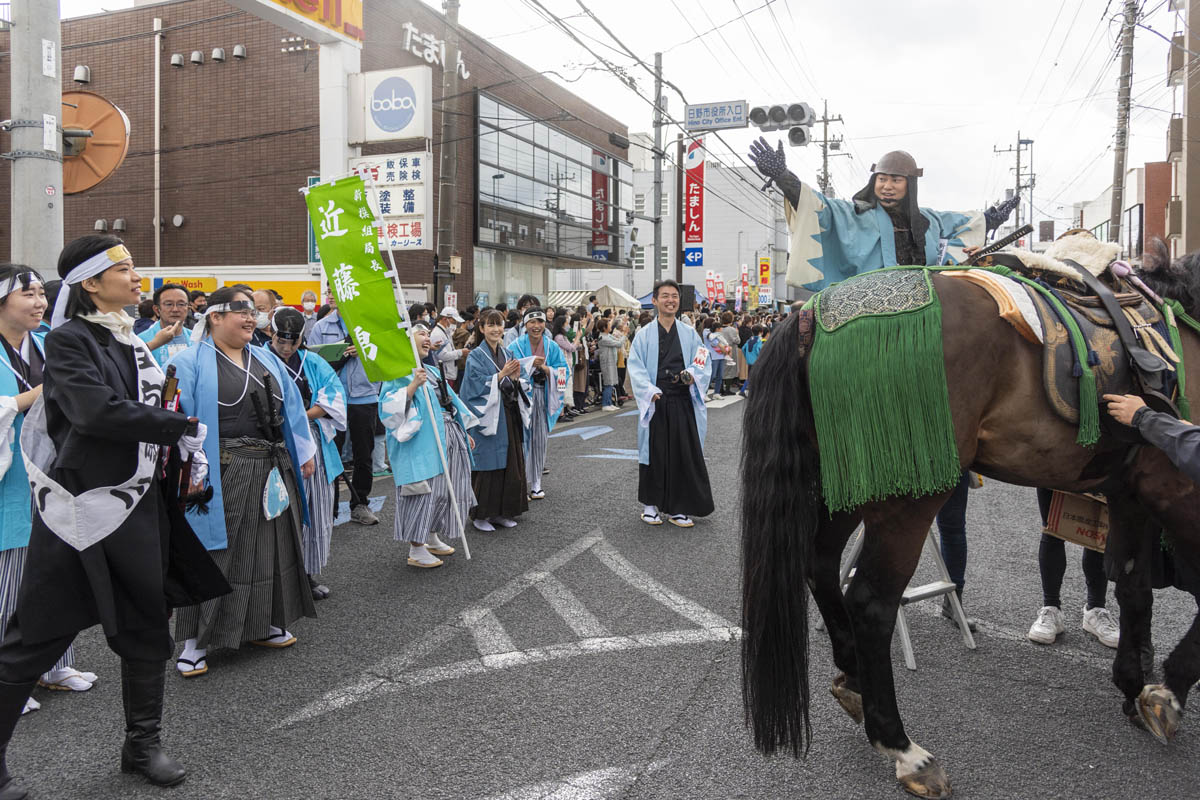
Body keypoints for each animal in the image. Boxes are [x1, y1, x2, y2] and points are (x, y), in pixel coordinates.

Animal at [734, 247, 1200, 796]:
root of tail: (809, 314)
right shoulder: (1177, 489)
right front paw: (1165, 693)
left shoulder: (1130, 490)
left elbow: (1132, 588)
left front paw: (1133, 684)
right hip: (906, 494)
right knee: (870, 603)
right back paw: (901, 748)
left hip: (848, 480)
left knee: (820, 565)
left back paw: (853, 682)